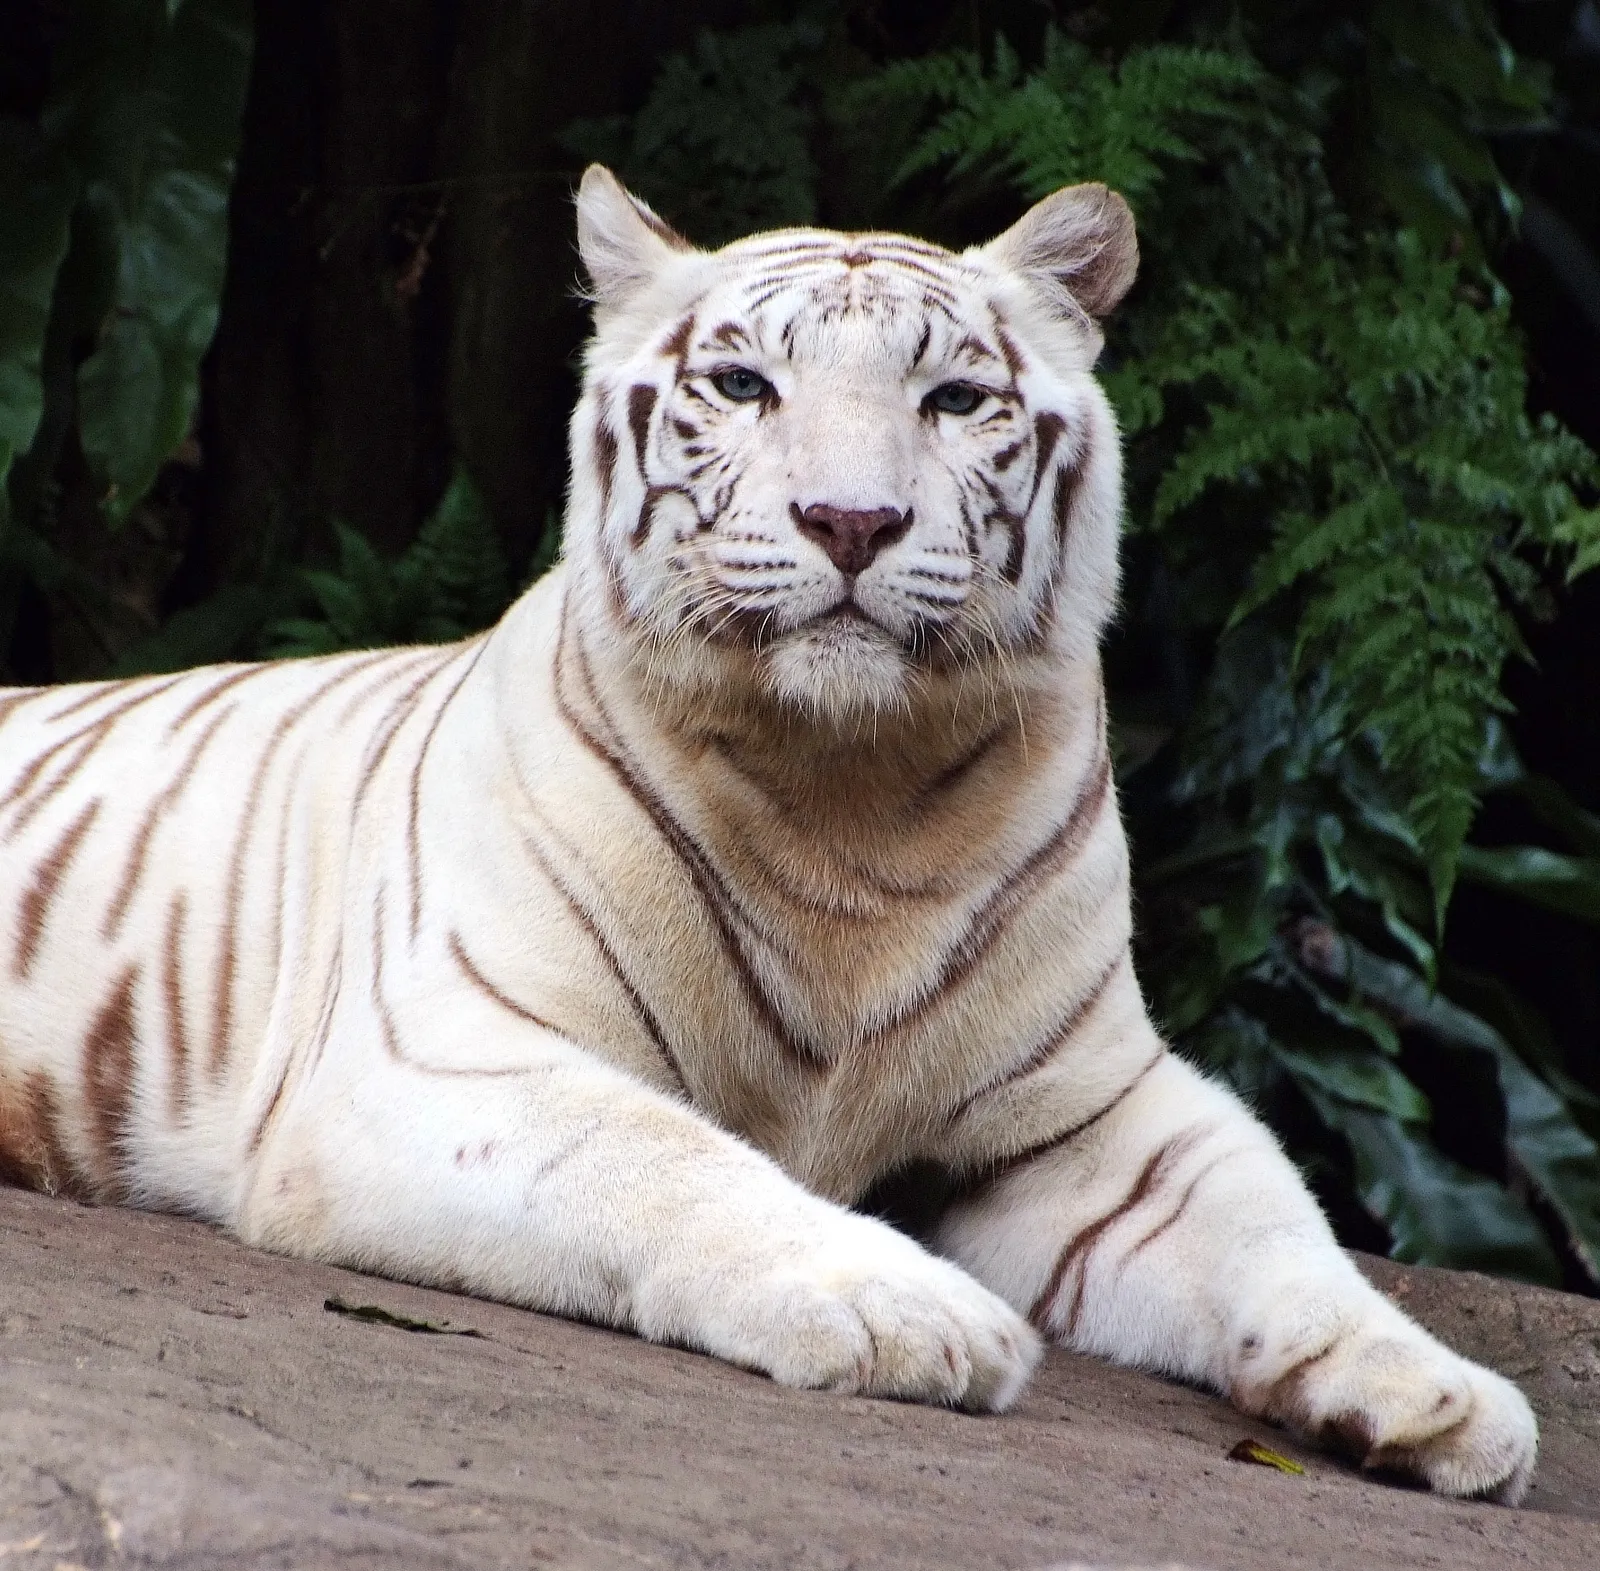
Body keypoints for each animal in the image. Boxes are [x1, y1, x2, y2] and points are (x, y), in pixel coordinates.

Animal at [0, 164, 1537, 1503]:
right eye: (745, 385)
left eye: (954, 397)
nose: (850, 518)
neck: (853, 806)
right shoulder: (430, 1049)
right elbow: (665, 1156)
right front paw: (909, 1308)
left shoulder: (1088, 1110)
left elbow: (1274, 1218)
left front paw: (1436, 1393)